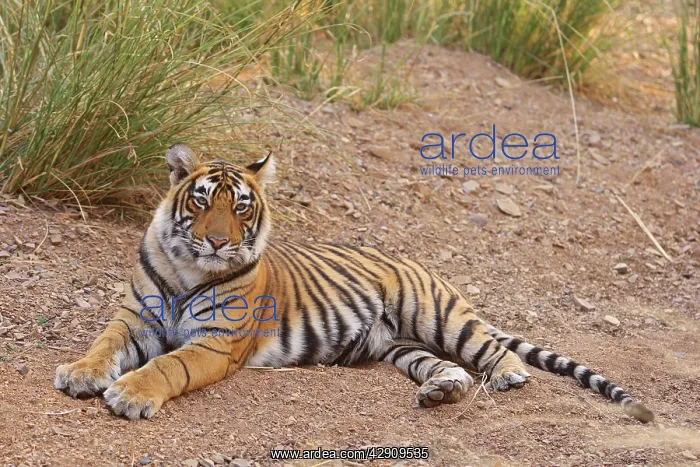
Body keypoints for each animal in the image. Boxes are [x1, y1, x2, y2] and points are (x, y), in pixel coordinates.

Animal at [54, 143, 654, 423]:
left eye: (241, 206)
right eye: (201, 201)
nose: (219, 243)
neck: (188, 267)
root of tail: (408, 257)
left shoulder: (216, 344)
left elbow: (168, 366)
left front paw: (130, 394)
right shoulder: (134, 317)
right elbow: (103, 345)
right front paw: (80, 373)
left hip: (437, 314)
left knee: (488, 347)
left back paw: (507, 375)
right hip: (404, 348)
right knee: (451, 369)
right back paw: (440, 392)